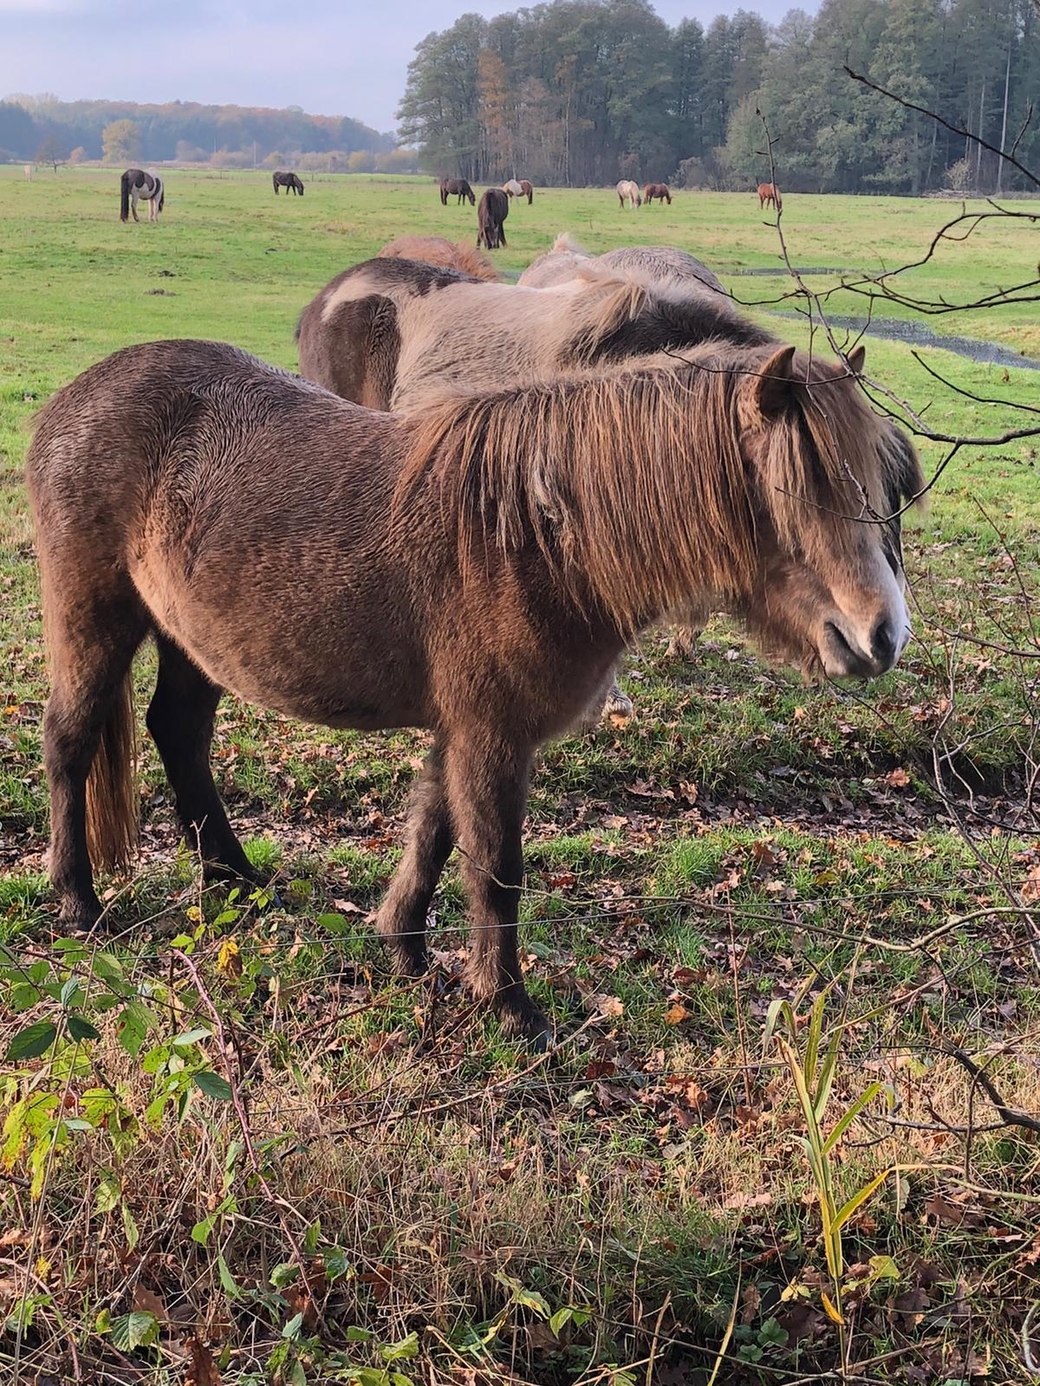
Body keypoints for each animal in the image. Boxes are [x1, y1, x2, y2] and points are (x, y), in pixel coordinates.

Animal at [26, 335, 920, 1042]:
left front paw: (407, 951)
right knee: (70, 740)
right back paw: (78, 901)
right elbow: (494, 864)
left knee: (178, 733)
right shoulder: (493, 734)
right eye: (799, 491)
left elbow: (434, 833)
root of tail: (73, 400)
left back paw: (236, 880)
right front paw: (511, 1006)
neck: (540, 538)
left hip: (192, 643)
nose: (881, 637)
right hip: (93, 617)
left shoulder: (463, 729)